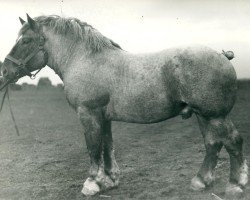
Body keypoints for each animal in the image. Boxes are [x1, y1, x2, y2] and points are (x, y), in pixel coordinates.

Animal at [0, 14, 248, 198]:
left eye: (25, 41)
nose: (4, 71)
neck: (84, 59)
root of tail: (223, 56)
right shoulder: (104, 117)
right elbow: (107, 146)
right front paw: (110, 180)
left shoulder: (88, 114)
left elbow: (93, 148)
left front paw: (91, 183)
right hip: (203, 115)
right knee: (213, 144)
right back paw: (201, 181)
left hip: (215, 116)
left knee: (233, 141)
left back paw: (236, 184)